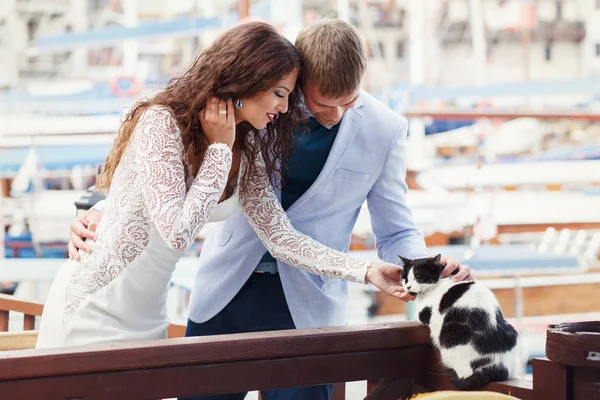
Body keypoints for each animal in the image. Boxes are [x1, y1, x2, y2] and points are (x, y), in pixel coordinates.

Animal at [400, 255, 524, 390]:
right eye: (405, 278)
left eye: (418, 277)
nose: (408, 287)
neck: (439, 282)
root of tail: (495, 364)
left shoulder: (424, 313)